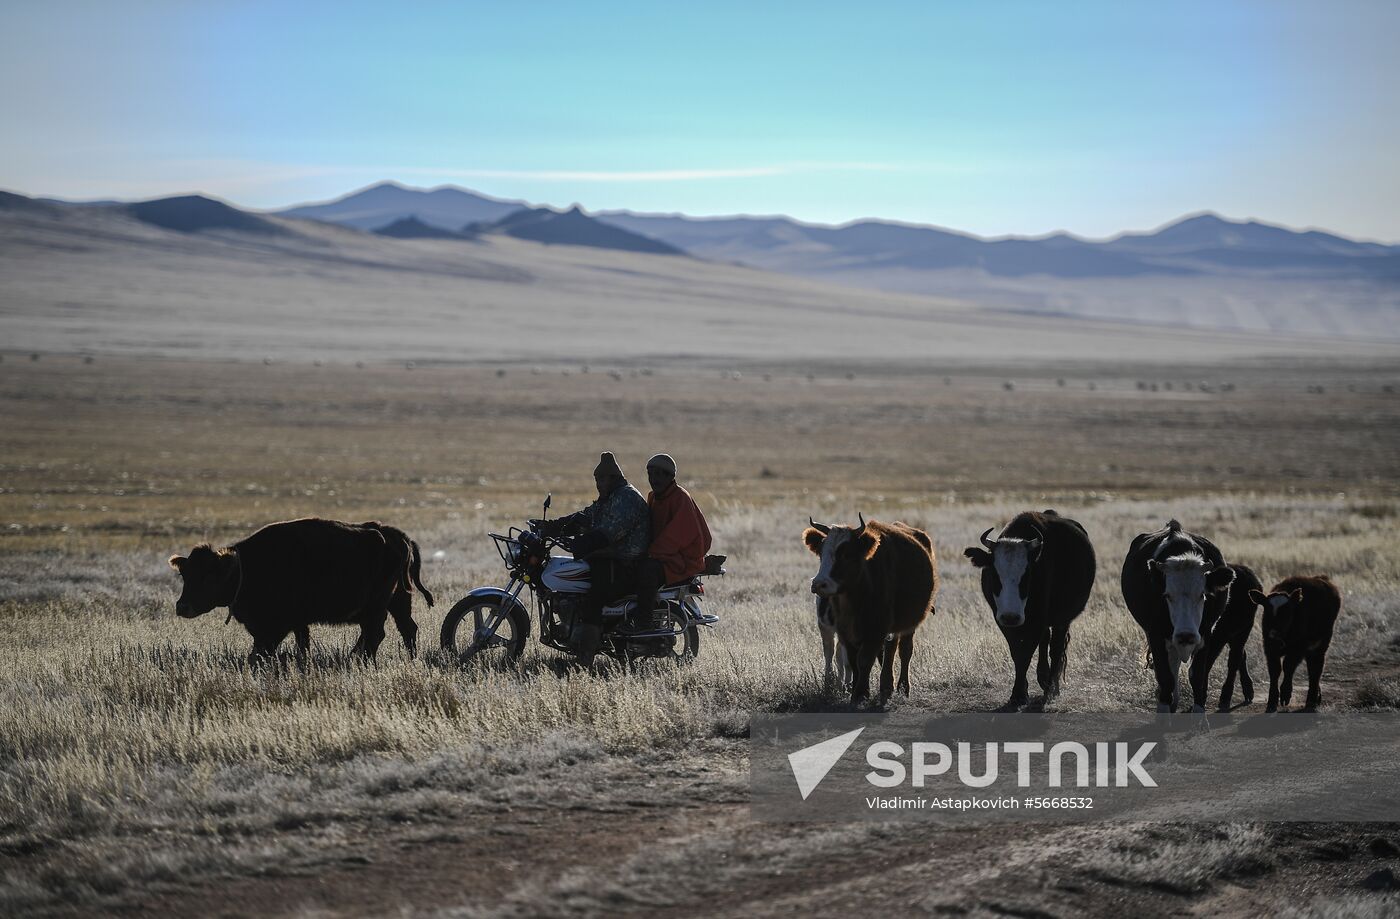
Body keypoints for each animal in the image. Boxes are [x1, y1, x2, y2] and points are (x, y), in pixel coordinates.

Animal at [168, 515, 431, 661]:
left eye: (208, 577)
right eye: (184, 574)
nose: (182, 607)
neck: (243, 568)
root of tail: (398, 536)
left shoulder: (277, 627)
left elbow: (262, 651)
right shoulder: (296, 624)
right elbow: (299, 645)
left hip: (377, 607)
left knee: (377, 634)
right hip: (398, 601)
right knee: (404, 629)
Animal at [806, 515, 935, 703]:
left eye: (846, 554)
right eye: (821, 553)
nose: (818, 584)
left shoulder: (877, 628)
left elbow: (865, 659)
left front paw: (861, 692)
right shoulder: (844, 630)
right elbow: (852, 660)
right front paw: (853, 690)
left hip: (908, 624)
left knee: (903, 651)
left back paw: (900, 687)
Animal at [963, 509, 1092, 711]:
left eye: (1027, 574)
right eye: (995, 574)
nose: (1011, 617)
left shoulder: (1037, 620)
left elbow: (1027, 652)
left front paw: (1020, 694)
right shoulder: (1002, 620)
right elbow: (1017, 653)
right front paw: (1019, 693)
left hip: (1062, 619)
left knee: (1056, 649)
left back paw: (1051, 688)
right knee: (1046, 641)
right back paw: (1044, 679)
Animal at [1114, 521, 1237, 714]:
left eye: (1202, 595)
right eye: (1167, 595)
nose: (1186, 635)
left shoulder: (1205, 634)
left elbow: (1197, 676)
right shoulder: (1155, 635)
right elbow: (1165, 677)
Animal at [1248, 574, 1344, 711]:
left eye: (1287, 611)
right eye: (1267, 610)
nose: (1274, 633)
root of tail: (1322, 578)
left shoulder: (1297, 648)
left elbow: (1288, 666)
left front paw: (1285, 694)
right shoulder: (1269, 647)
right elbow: (1275, 670)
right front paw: (1272, 701)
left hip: (1322, 644)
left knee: (1316, 669)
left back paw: (1311, 700)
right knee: (1312, 667)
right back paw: (1316, 697)